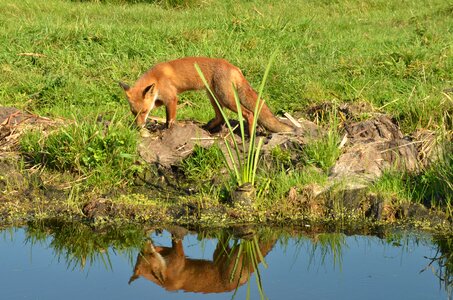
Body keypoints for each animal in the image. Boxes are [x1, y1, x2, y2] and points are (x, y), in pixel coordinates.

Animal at [117, 56, 294, 134]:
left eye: (144, 112)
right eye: (133, 113)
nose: (138, 127)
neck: (157, 78)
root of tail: (234, 67)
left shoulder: (172, 98)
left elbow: (170, 119)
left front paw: (168, 130)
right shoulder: (161, 99)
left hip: (226, 98)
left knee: (249, 113)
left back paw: (249, 137)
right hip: (213, 97)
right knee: (221, 117)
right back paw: (206, 128)